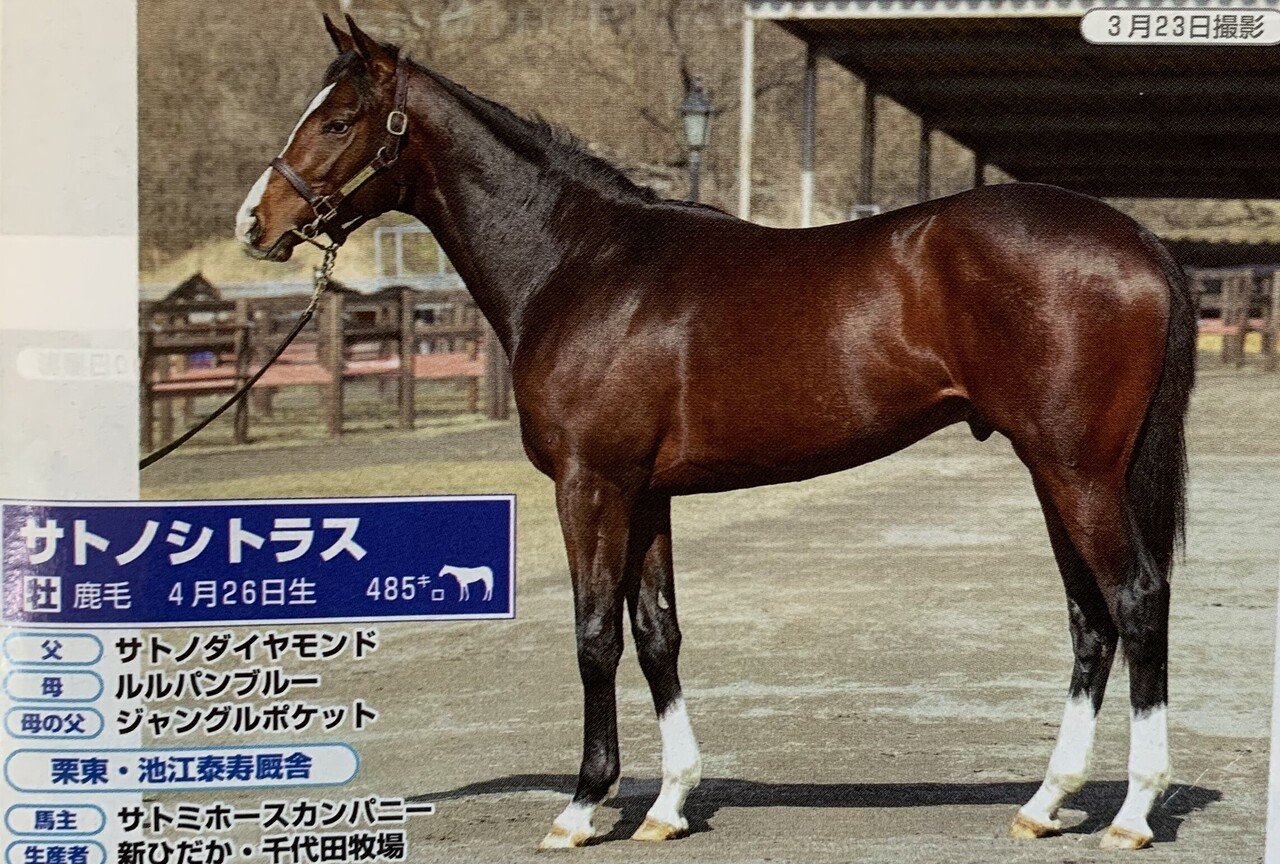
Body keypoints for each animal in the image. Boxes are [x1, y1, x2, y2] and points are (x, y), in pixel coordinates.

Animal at [237, 16, 1194, 852]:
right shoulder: (646, 492)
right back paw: (1045, 803)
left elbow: (594, 635)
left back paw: (1131, 815)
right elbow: (658, 633)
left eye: (339, 119)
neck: (582, 265)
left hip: (1078, 471)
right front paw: (667, 804)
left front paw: (581, 808)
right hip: (1056, 470)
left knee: (1136, 601)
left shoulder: (590, 483)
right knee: (1090, 620)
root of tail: (1138, 239)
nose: (257, 221)